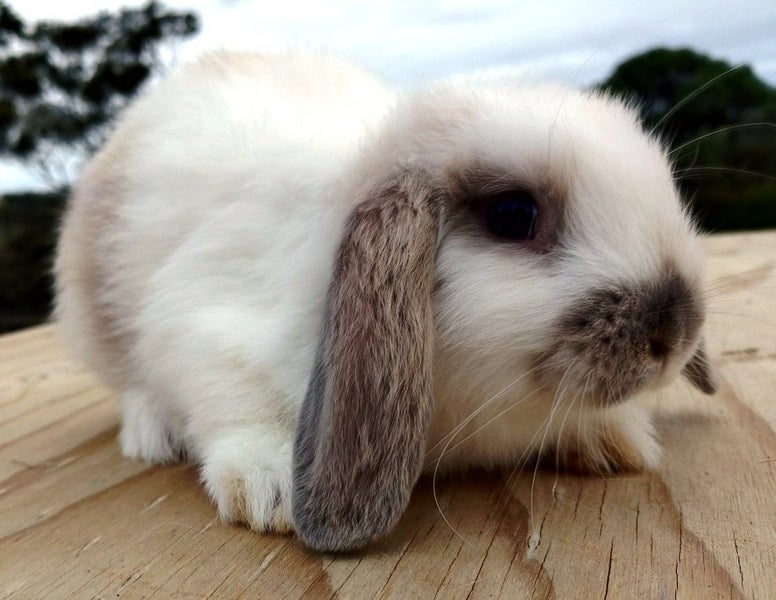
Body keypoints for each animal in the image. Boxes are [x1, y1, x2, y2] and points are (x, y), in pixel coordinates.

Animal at [54, 50, 718, 553]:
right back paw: (150, 434)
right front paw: (271, 488)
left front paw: (612, 440)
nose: (675, 331)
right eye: (513, 214)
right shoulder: (206, 333)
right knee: (133, 385)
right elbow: (235, 405)